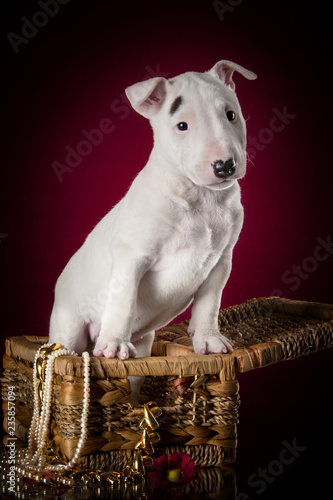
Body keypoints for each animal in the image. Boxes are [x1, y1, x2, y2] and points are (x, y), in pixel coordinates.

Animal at [49, 60, 255, 372]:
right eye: (182, 126)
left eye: (231, 115)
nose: (224, 166)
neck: (200, 196)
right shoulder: (132, 257)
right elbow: (124, 301)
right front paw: (113, 345)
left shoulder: (221, 260)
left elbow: (209, 303)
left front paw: (208, 339)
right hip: (68, 327)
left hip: (145, 343)